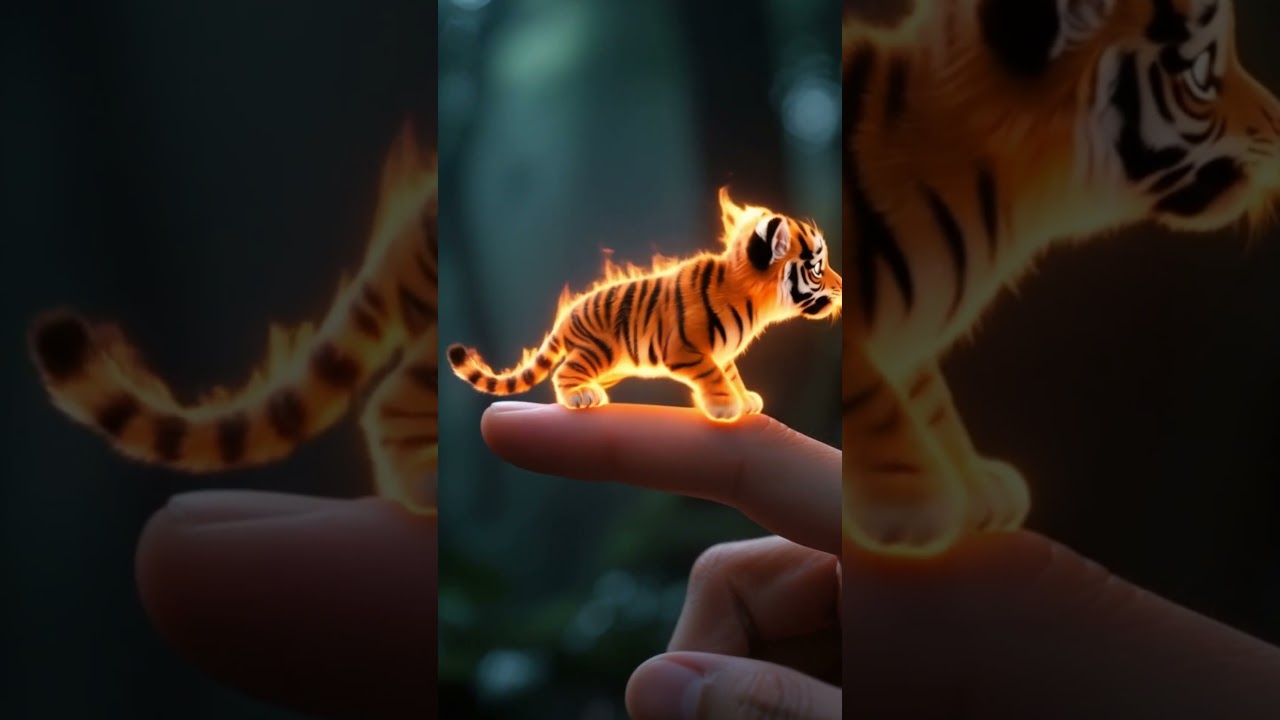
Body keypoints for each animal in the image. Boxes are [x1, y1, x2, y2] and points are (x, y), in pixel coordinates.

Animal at [446, 188, 842, 422]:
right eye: (817, 267)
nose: (841, 286)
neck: (752, 298)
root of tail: (566, 315)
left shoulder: (722, 353)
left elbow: (730, 373)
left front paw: (744, 399)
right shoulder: (685, 350)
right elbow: (712, 375)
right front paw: (724, 406)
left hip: (613, 363)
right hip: (600, 350)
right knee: (562, 373)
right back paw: (581, 396)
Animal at [843, 0, 1280, 557]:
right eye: (1202, 73)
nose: (1279, 123)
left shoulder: (911, 347)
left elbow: (929, 397)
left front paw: (973, 480)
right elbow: (870, 393)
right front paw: (911, 499)